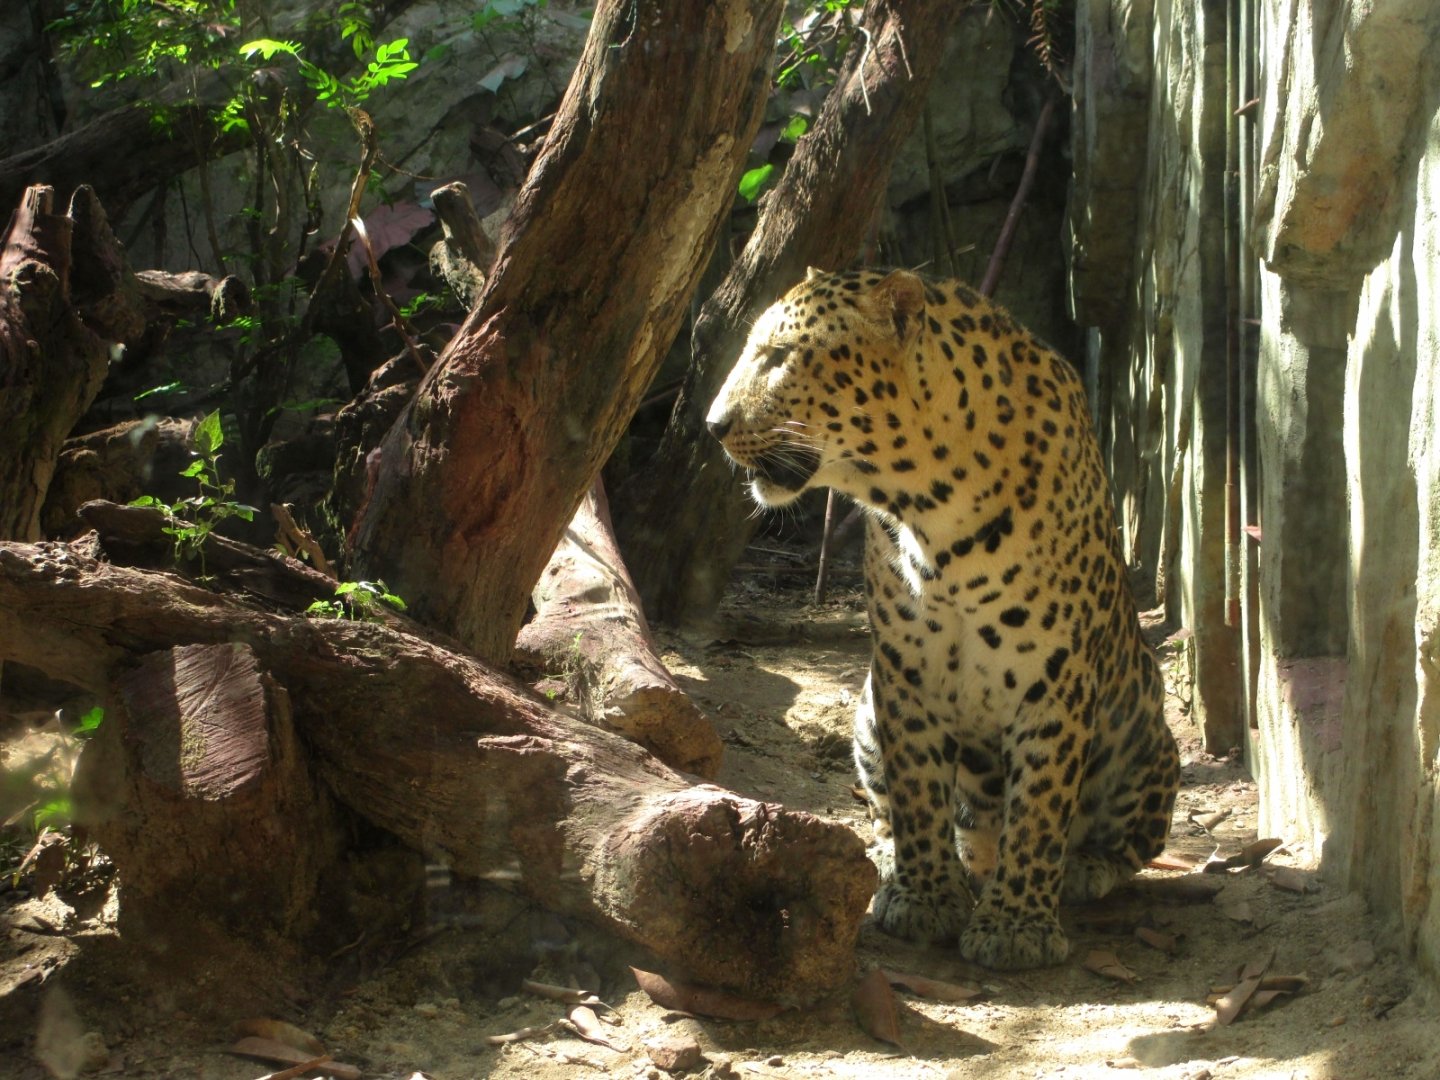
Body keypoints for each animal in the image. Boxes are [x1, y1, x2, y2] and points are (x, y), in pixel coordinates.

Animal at [705, 267, 1180, 970]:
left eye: (780, 356)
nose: (713, 424)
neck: (931, 507)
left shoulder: (1057, 677)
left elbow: (1040, 807)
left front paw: (1016, 926)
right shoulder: (905, 670)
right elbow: (917, 792)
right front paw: (925, 896)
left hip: (1144, 731)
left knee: (1127, 840)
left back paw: (1080, 868)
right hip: (865, 710)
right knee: (891, 808)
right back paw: (890, 859)